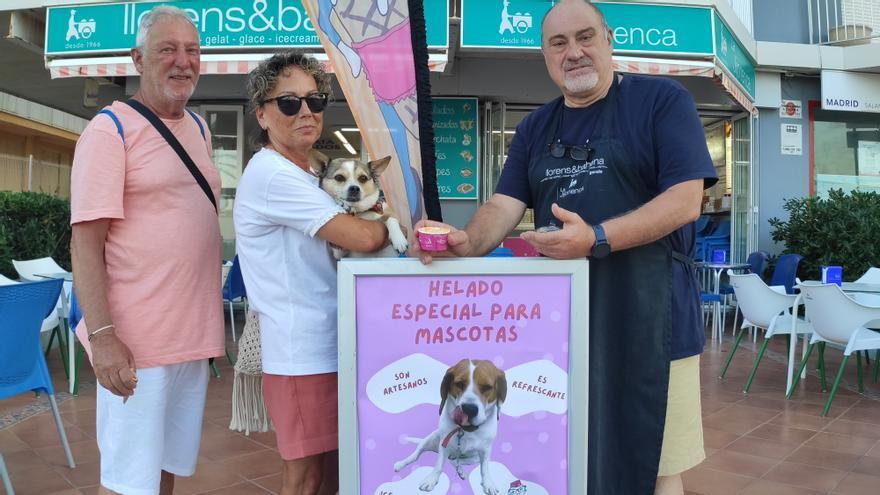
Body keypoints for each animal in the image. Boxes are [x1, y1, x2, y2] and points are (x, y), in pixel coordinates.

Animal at [394, 360, 508, 495]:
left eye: (487, 387)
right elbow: (438, 466)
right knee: (416, 454)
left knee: (453, 460)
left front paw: (488, 483)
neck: (466, 430)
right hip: (430, 439)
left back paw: (460, 470)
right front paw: (431, 479)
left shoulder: (485, 451)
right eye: (459, 384)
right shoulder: (443, 446)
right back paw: (402, 463)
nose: (469, 409)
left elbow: (484, 469)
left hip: (473, 457)